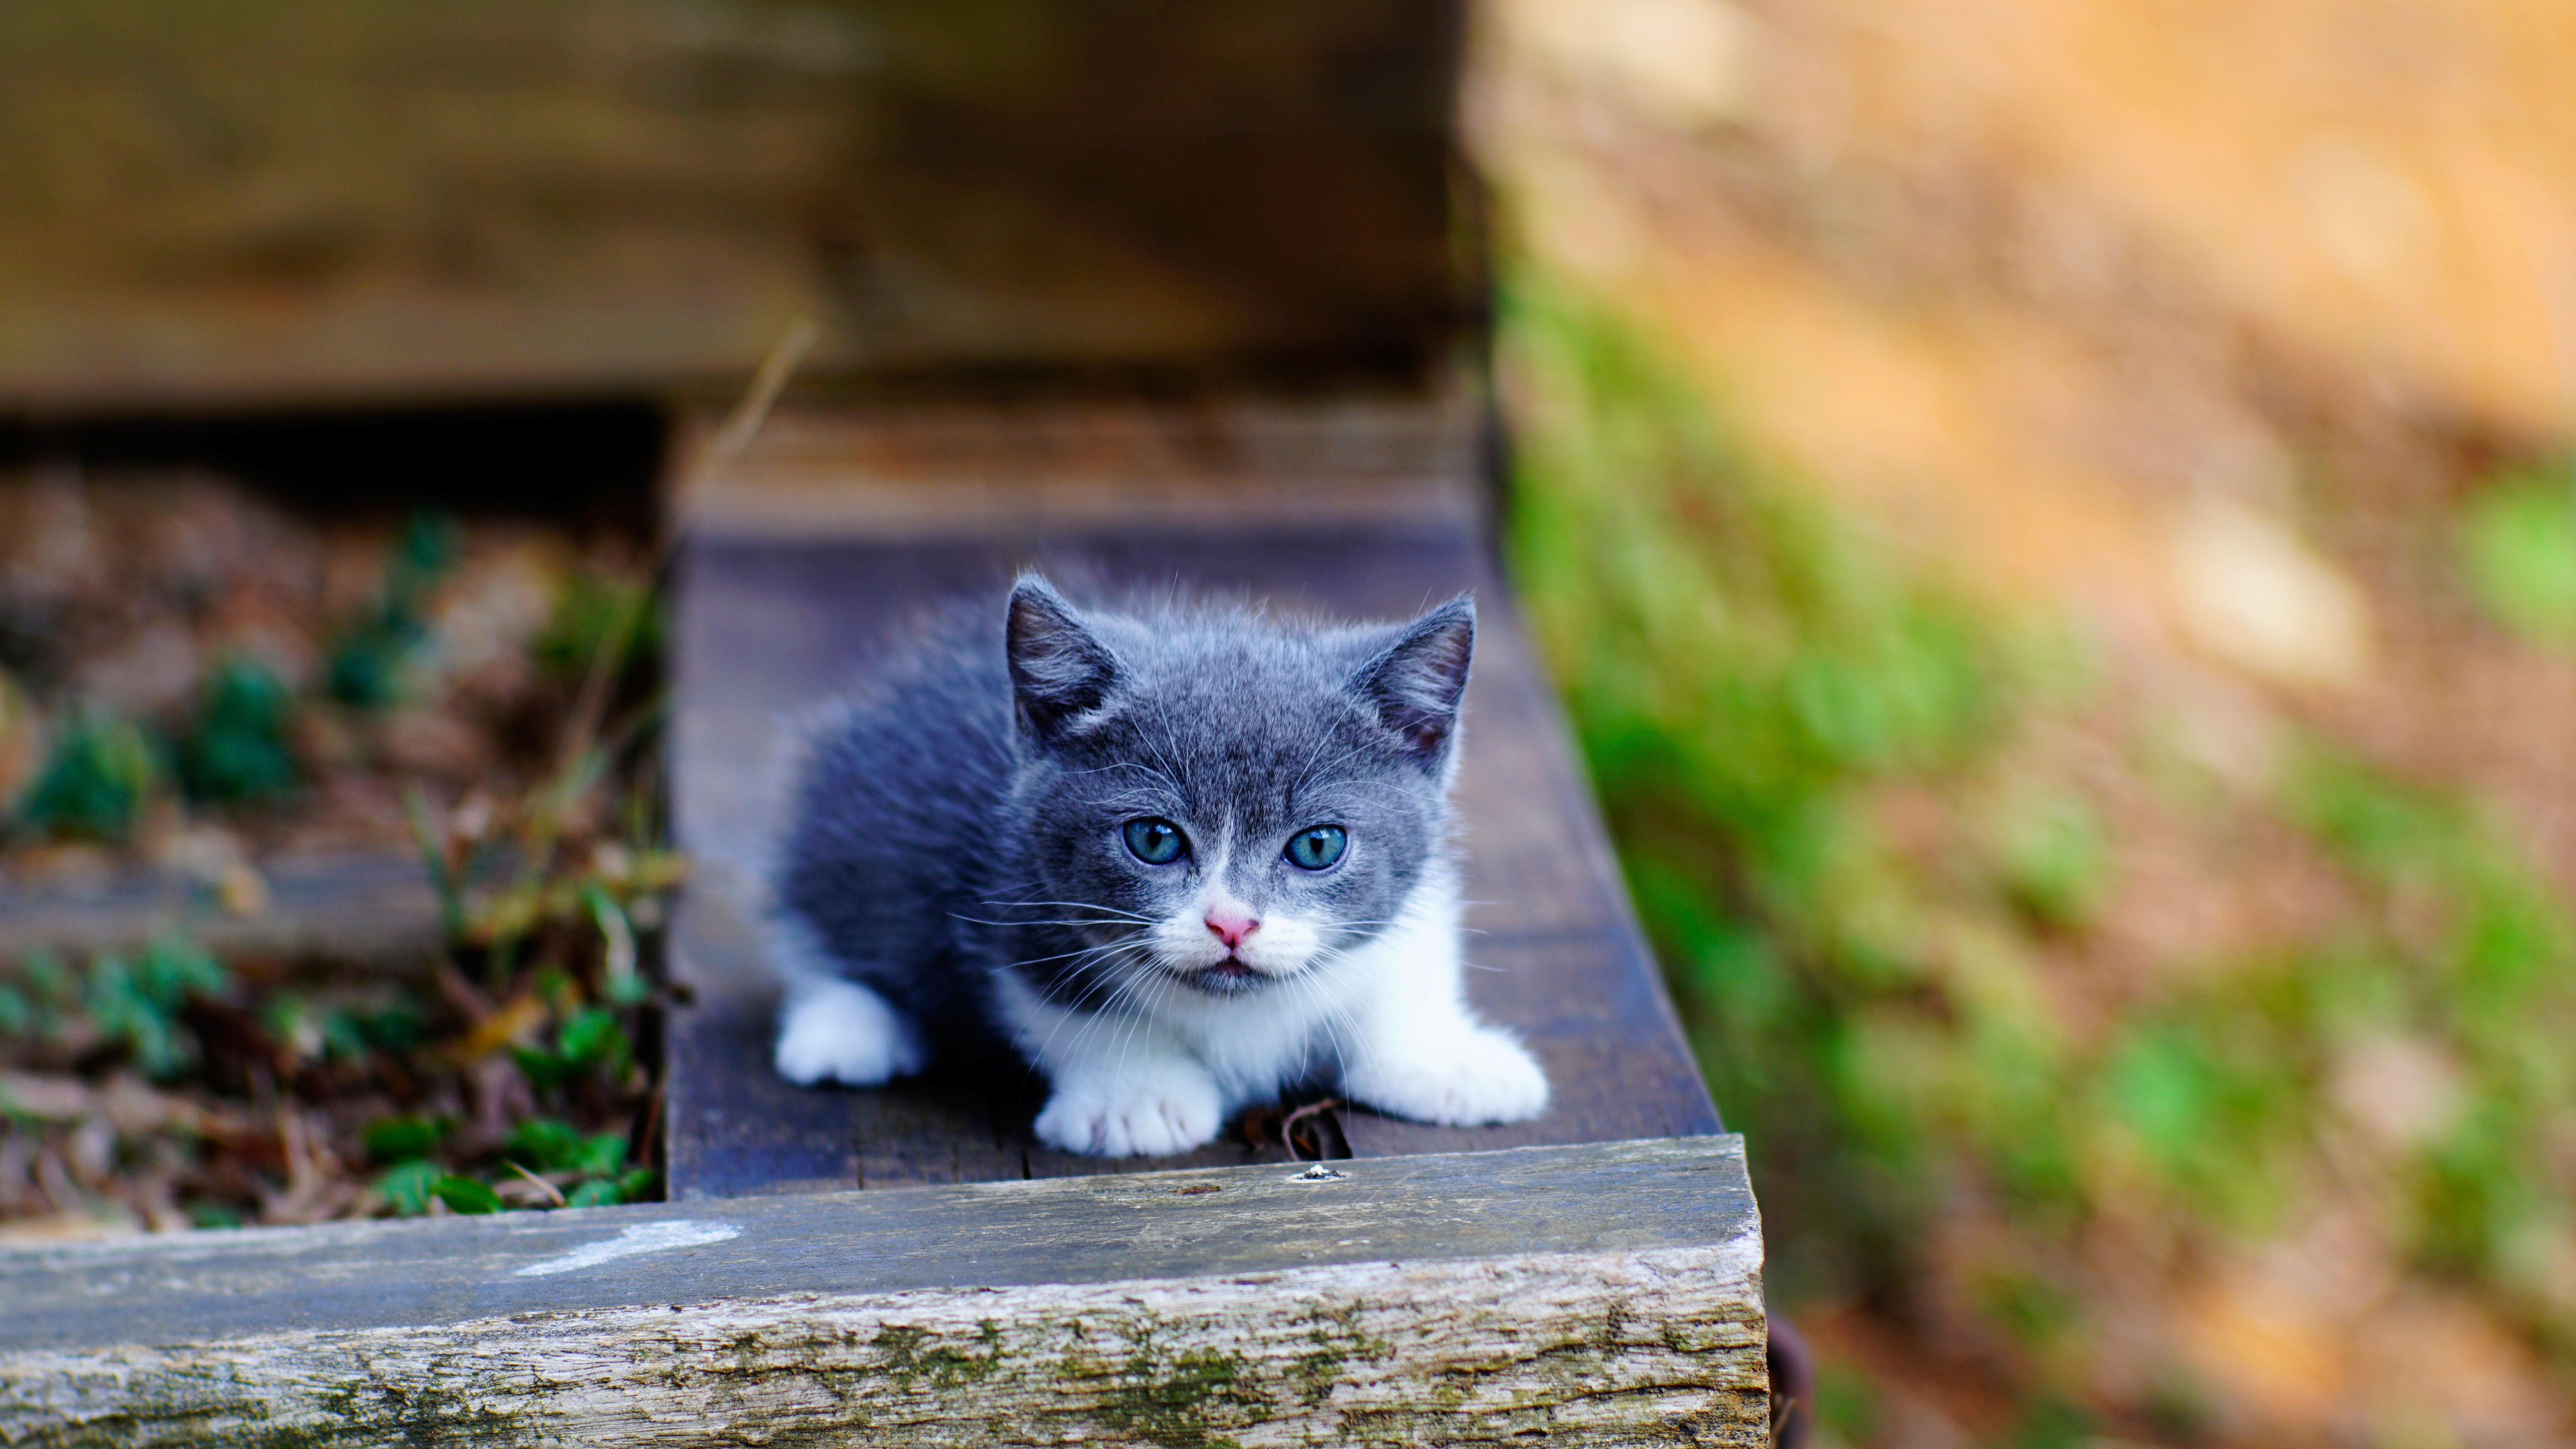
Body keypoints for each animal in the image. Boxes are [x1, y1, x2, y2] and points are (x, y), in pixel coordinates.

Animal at [752, 576, 1535, 1158]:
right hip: (860, 838)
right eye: (1155, 839)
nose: (1231, 923)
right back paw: (844, 1029)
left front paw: (1443, 1062)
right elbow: (1070, 1003)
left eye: (1317, 846)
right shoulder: (1014, 888)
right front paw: (1134, 1098)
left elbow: (1403, 964)